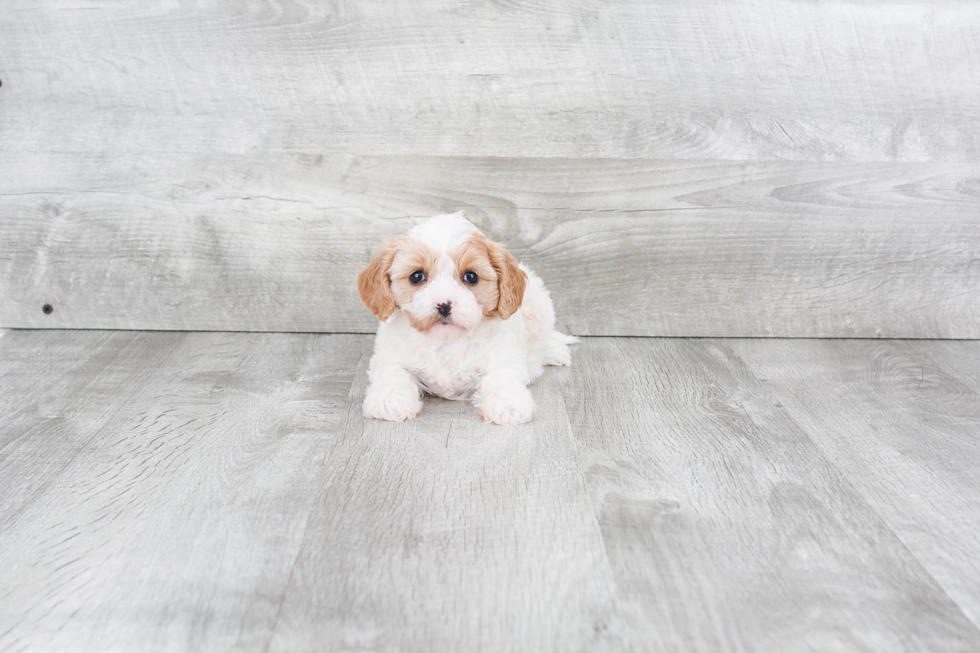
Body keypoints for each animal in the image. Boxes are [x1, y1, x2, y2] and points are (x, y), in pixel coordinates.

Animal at [358, 211, 576, 426]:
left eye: (471, 277)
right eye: (417, 276)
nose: (444, 305)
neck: (447, 341)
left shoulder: (503, 357)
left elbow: (502, 377)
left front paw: (509, 404)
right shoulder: (389, 355)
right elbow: (393, 373)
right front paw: (389, 399)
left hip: (540, 305)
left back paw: (554, 352)